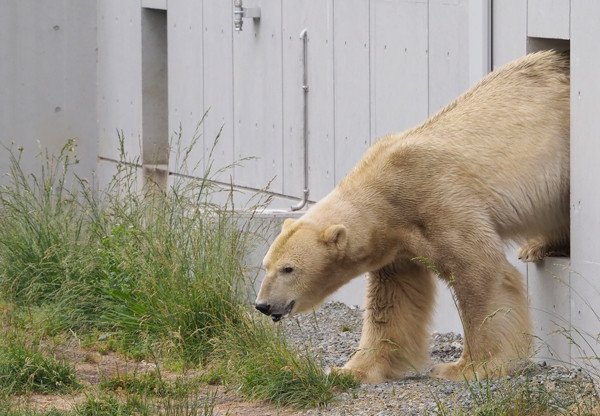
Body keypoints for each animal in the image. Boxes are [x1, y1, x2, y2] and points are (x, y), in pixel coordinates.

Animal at [254, 49, 572, 384]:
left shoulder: (438, 200)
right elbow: (393, 299)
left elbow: (480, 271)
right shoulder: (394, 242)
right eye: (266, 265)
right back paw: (537, 245)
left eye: (288, 268)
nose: (262, 304)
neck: (385, 191)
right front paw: (351, 370)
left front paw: (467, 367)